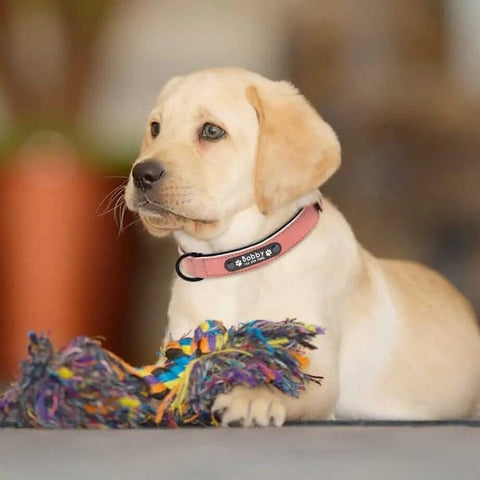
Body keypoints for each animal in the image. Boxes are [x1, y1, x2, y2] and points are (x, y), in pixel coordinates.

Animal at [125, 66, 480, 424]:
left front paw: (252, 396)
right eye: (155, 129)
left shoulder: (318, 364)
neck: (234, 260)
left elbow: (286, 380)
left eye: (212, 131)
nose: (142, 173)